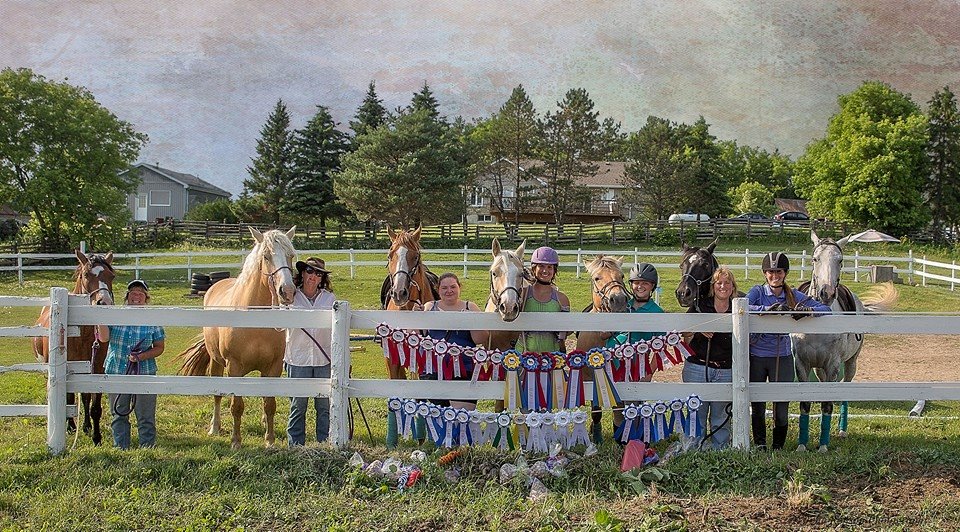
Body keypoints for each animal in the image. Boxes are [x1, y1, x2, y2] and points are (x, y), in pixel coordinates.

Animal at [33, 250, 115, 445]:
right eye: (86, 275)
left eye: (112, 276)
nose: (104, 302)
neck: (81, 334)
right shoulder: (67, 369)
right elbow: (69, 397)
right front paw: (70, 426)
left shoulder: (97, 368)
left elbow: (94, 404)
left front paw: (96, 436)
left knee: (85, 397)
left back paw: (86, 426)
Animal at [178, 227, 297, 449]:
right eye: (266, 256)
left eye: (291, 255)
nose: (287, 291)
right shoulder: (234, 367)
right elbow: (237, 406)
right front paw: (236, 441)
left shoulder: (273, 367)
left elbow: (269, 403)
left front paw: (270, 441)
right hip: (216, 362)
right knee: (217, 395)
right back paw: (215, 427)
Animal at [792, 231, 898, 452]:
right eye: (815, 259)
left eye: (840, 260)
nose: (826, 293)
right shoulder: (802, 364)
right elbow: (805, 403)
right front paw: (802, 445)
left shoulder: (833, 364)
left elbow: (827, 404)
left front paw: (823, 446)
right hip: (820, 369)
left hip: (850, 364)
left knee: (844, 391)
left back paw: (841, 431)